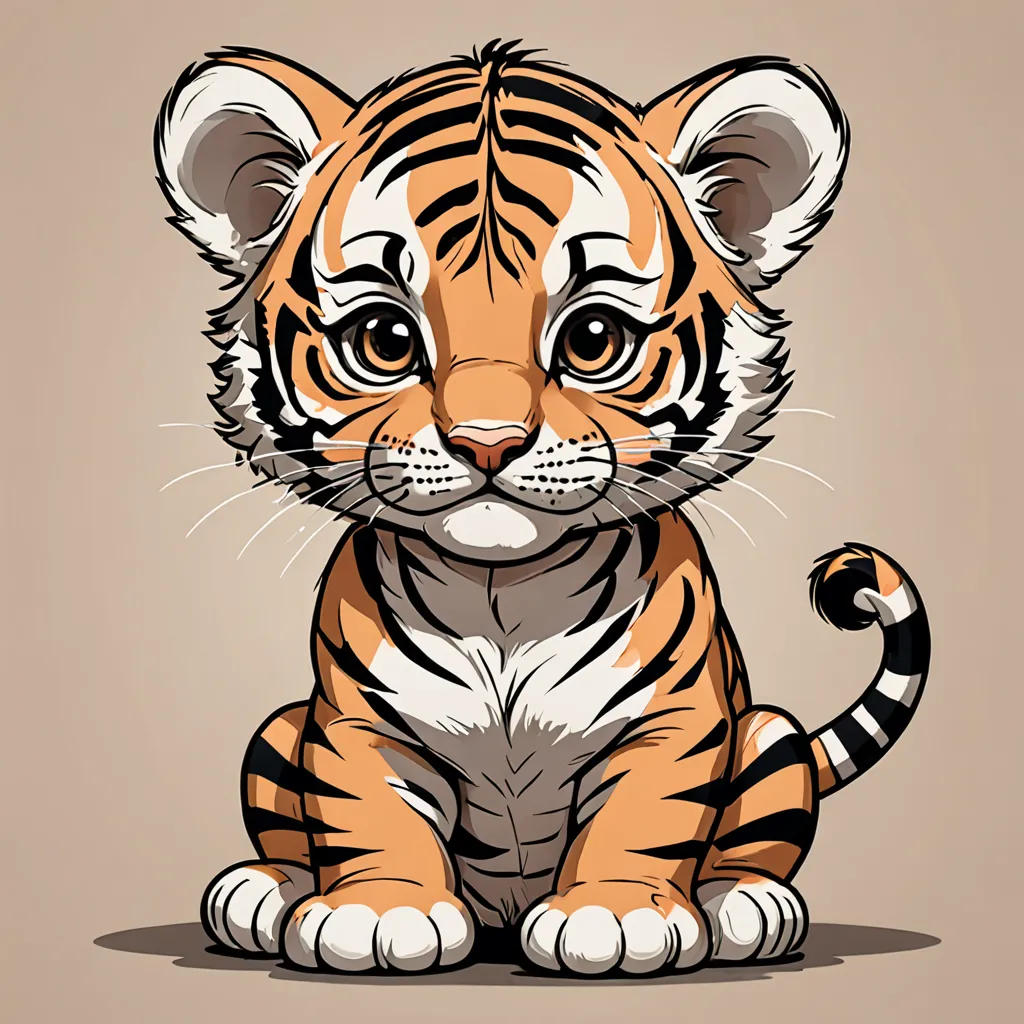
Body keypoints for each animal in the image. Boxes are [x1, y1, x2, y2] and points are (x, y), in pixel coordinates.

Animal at [154, 40, 930, 976]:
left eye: (594, 340)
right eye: (385, 340)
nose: (487, 442)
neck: (503, 594)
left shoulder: (672, 722)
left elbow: (648, 814)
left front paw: (614, 918)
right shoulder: (354, 722)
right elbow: (362, 811)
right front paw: (378, 911)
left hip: (770, 735)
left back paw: (750, 905)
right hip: (278, 727)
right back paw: (261, 892)